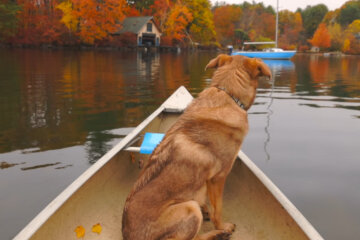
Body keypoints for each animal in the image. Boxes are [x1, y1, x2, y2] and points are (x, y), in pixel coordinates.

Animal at [122, 54, 272, 240]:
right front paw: (222, 225)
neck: (226, 93)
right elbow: (218, 210)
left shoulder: (207, 180)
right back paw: (218, 233)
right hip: (190, 209)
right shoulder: (218, 177)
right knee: (195, 237)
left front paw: (207, 208)